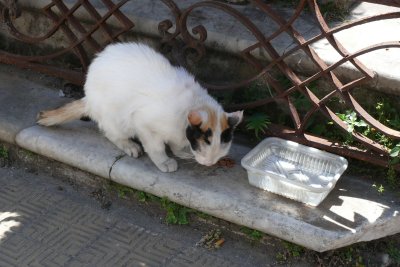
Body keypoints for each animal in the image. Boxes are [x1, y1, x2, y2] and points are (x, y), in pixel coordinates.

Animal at [37, 41, 242, 173]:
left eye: (222, 147)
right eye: (204, 144)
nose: (209, 163)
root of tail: (88, 96)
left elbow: (175, 142)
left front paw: (180, 151)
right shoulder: (144, 123)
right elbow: (156, 147)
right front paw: (165, 162)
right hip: (116, 118)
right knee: (110, 133)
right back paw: (129, 145)